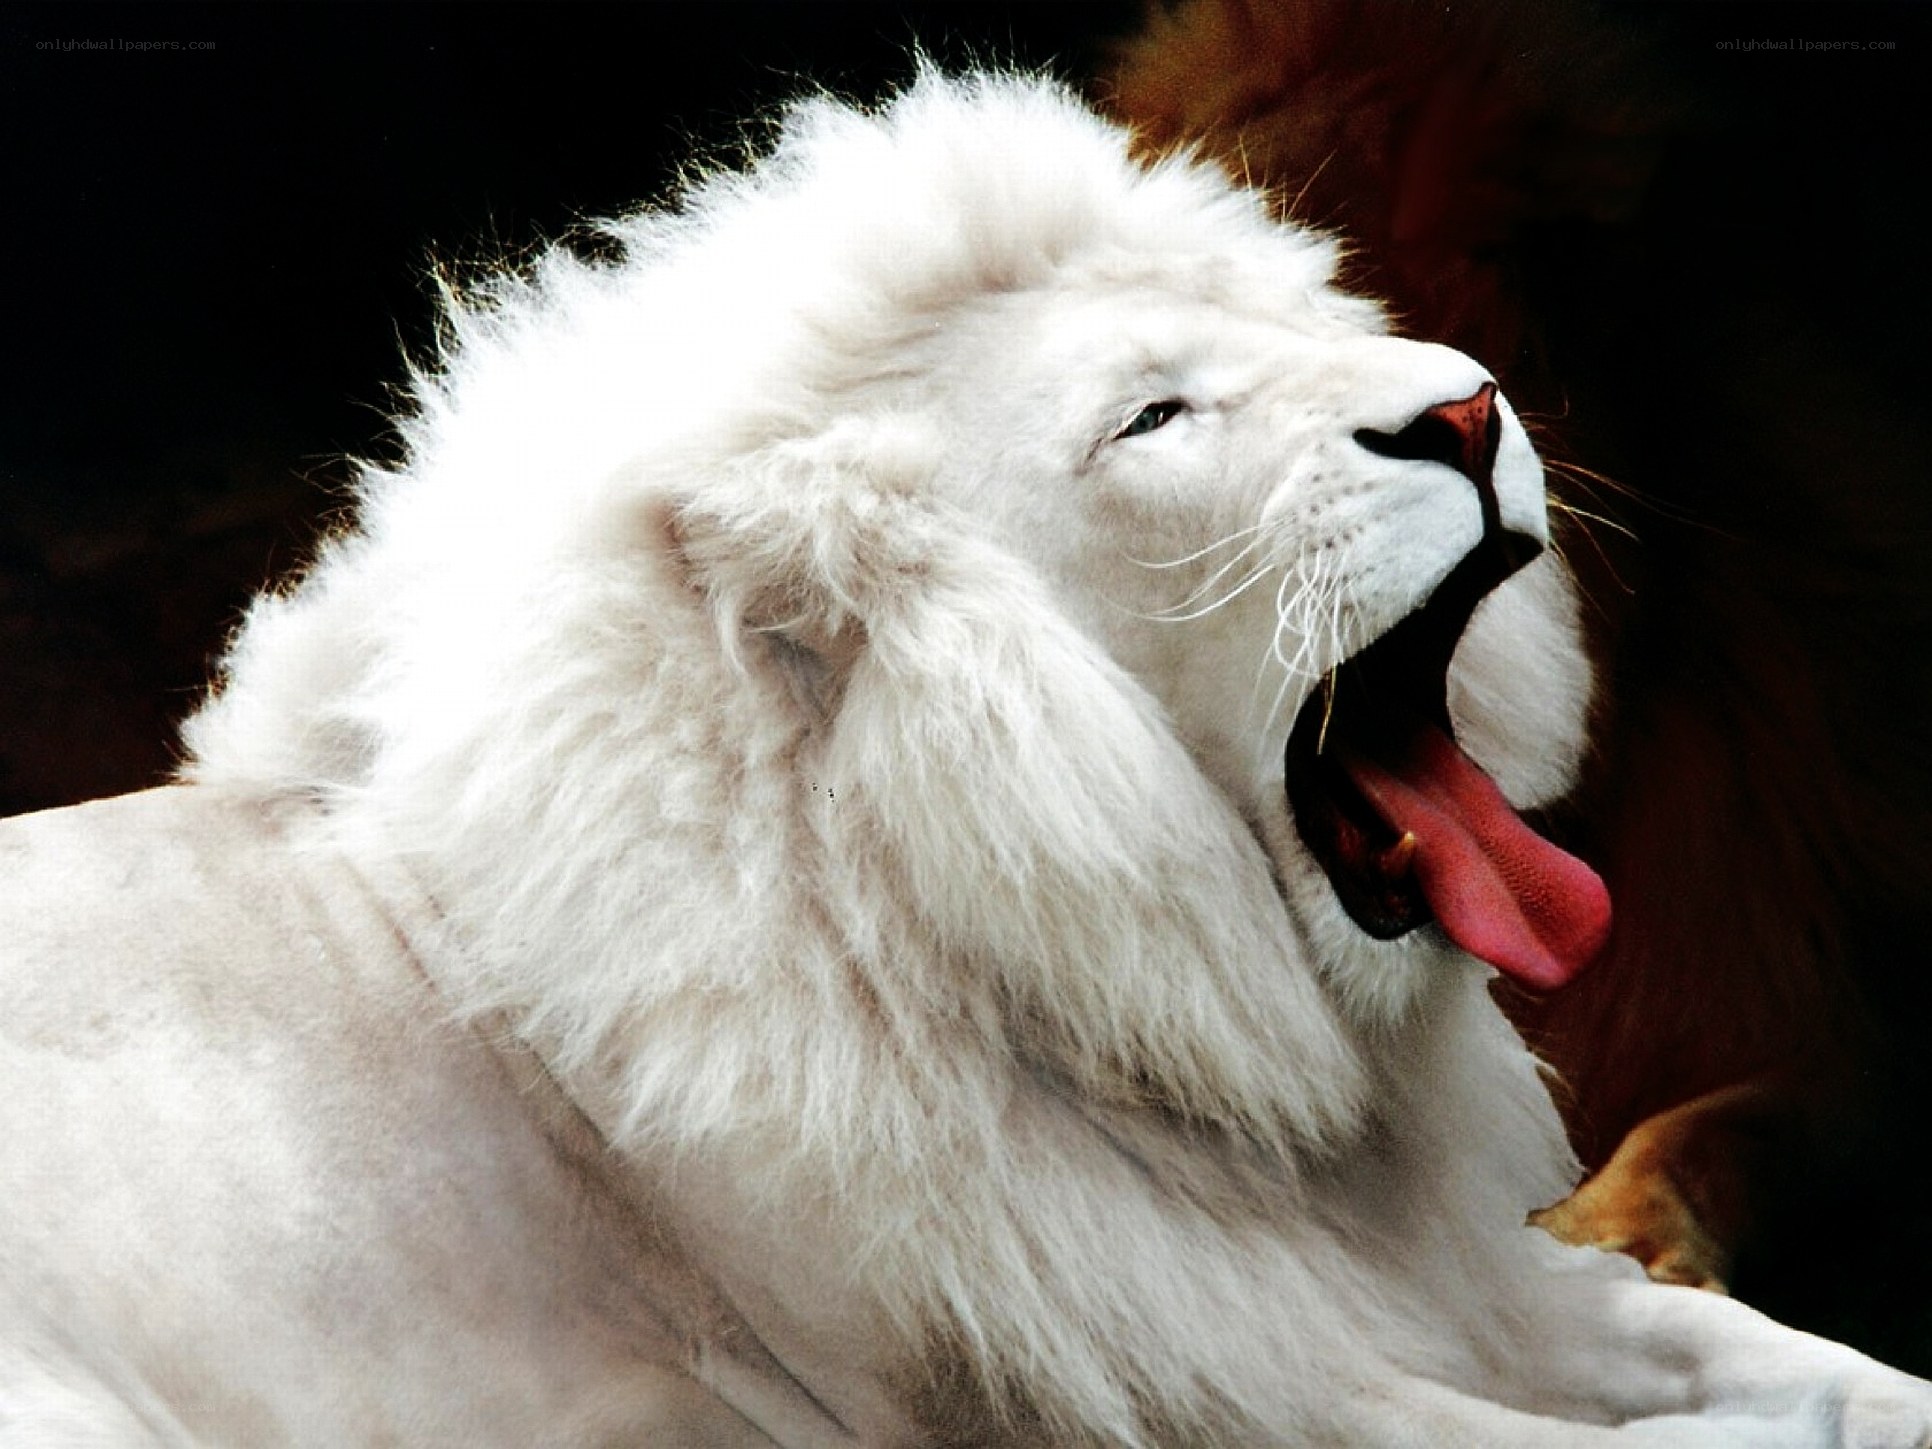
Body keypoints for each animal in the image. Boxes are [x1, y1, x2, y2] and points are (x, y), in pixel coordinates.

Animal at [2, 71, 1927, 1447]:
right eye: (1153, 415)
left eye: (1286, 328)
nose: (1469, 407)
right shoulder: (1195, 1384)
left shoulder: (1429, 1283)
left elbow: (1782, 1357)